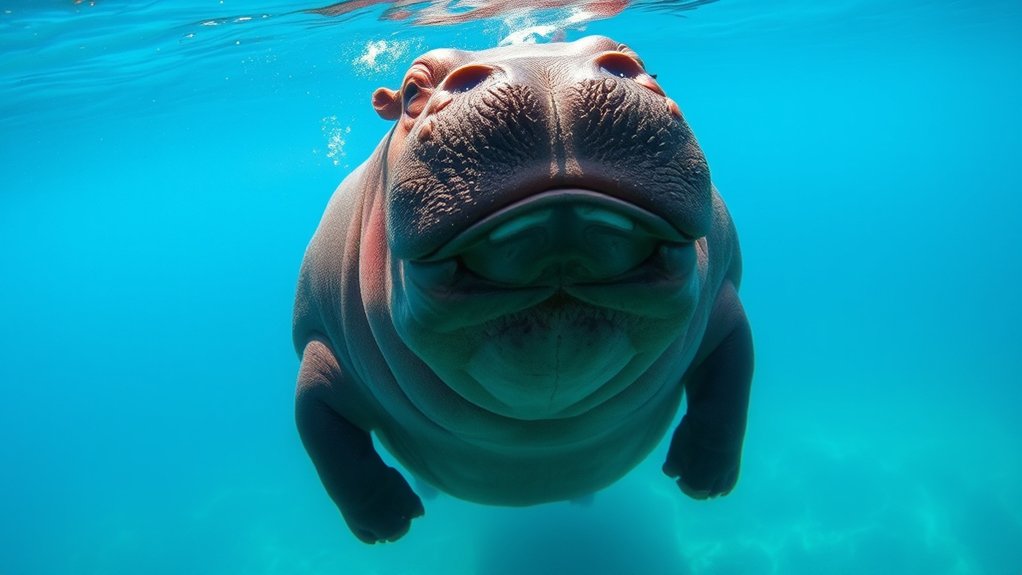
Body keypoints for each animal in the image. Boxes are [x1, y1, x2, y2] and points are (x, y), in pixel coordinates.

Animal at [292, 35, 753, 544]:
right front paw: (386, 523)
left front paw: (703, 482)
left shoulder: (723, 297)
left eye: (637, 60)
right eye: (411, 91)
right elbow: (321, 426)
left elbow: (730, 383)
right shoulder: (318, 340)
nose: (546, 70)